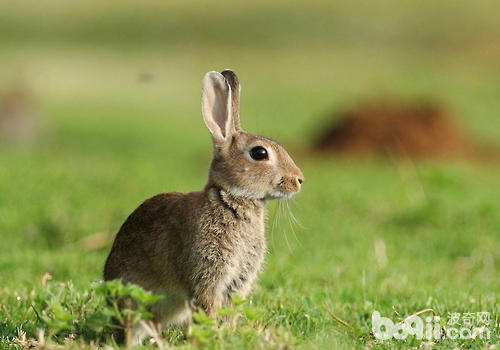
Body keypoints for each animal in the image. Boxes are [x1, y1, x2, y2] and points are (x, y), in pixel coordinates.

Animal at [103, 69, 302, 344]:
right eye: (259, 153)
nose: (299, 180)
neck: (231, 199)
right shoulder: (206, 275)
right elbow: (207, 308)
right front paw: (212, 337)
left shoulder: (236, 283)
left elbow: (230, 312)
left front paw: (227, 336)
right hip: (135, 300)